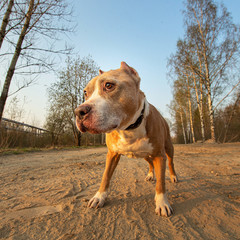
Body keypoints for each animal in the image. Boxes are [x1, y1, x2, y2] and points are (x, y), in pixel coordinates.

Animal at [75, 62, 178, 218]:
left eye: (109, 85)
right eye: (85, 92)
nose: (78, 112)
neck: (129, 129)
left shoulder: (159, 155)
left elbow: (161, 182)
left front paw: (162, 203)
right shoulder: (112, 154)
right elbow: (105, 176)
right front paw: (99, 197)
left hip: (168, 147)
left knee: (171, 162)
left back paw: (173, 176)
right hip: (144, 155)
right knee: (150, 163)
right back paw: (150, 175)